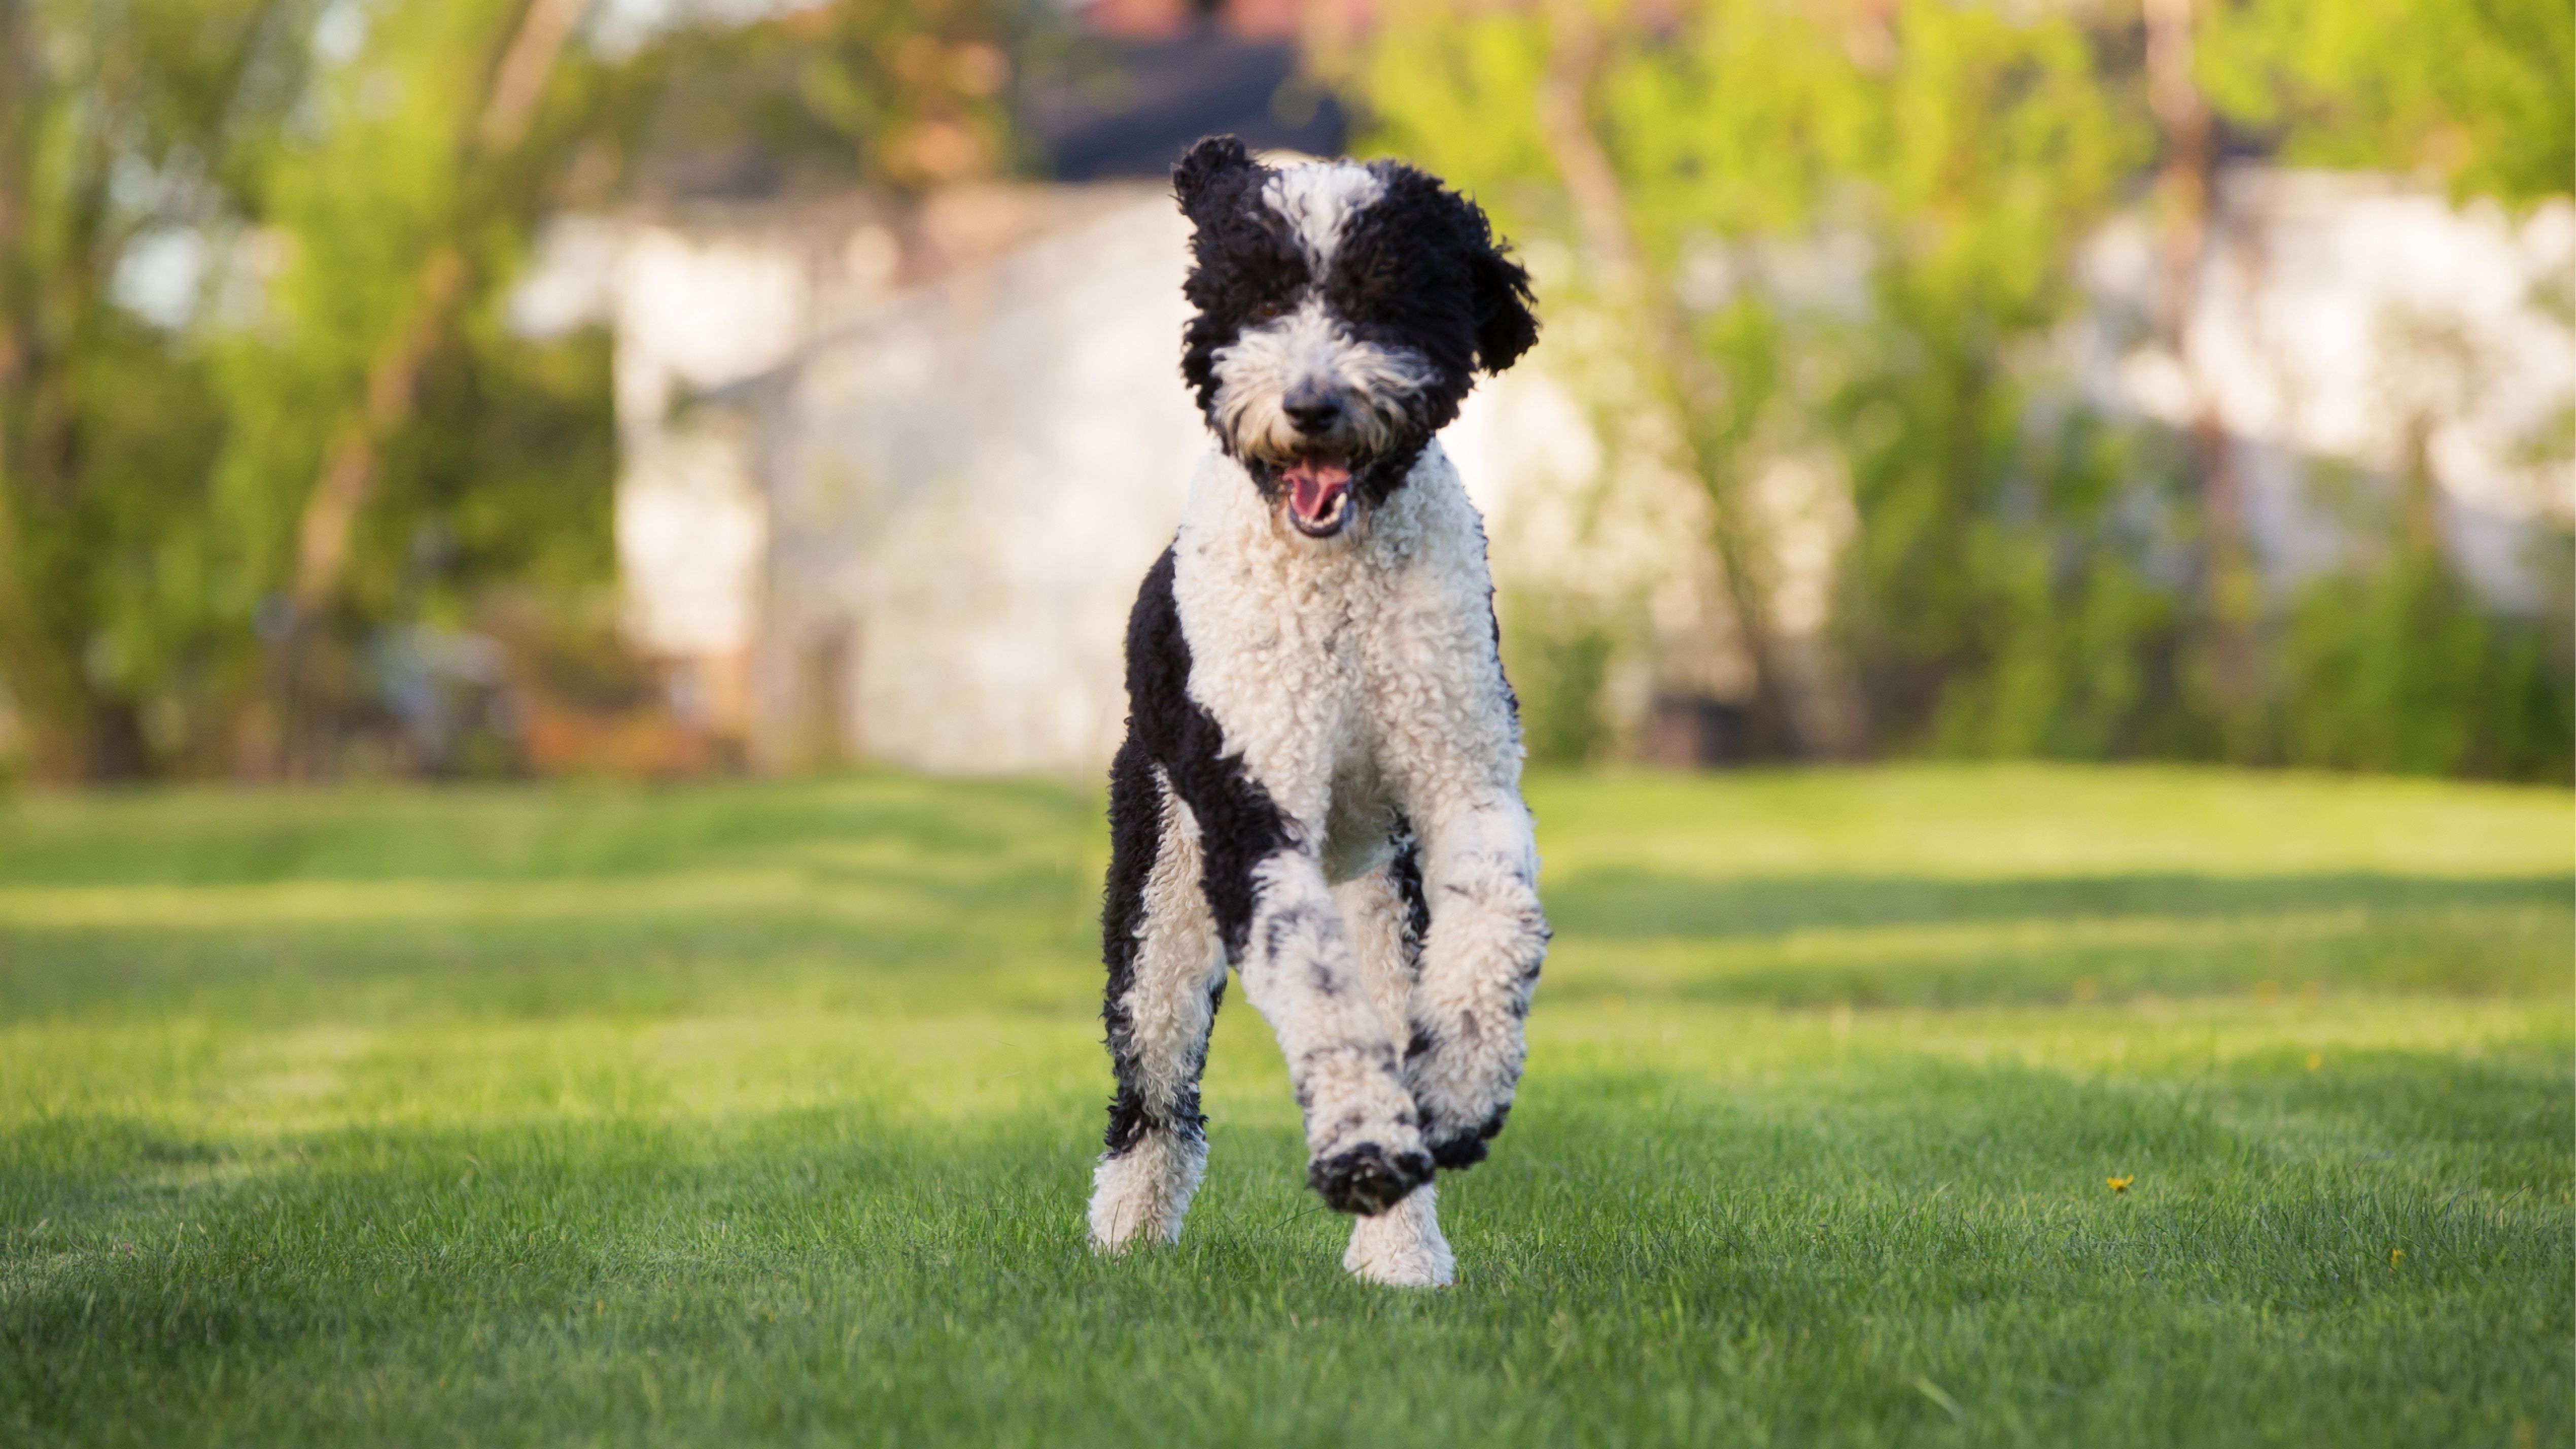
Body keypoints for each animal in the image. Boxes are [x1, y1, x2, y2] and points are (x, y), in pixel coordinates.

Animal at [1087, 137, 1545, 1284]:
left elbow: (1499, 915)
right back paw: (1126, 1235)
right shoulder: (1253, 815)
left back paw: (1403, 1253)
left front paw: (1461, 1092)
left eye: (1386, 299)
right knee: (1153, 1089)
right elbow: (1312, 986)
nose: (1310, 404)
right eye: (1257, 293)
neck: (1338, 587)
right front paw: (1362, 1150)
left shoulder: (1463, 779)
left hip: (1382, 892)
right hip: (1160, 899)